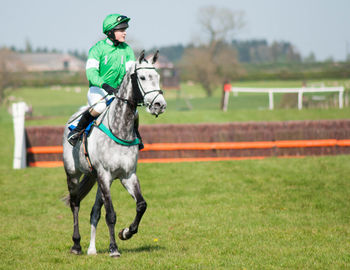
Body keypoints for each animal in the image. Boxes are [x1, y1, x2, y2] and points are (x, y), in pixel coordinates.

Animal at [63, 51, 167, 258]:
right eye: (142, 77)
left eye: (157, 76)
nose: (160, 104)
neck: (120, 129)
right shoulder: (105, 175)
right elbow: (111, 215)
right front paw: (114, 249)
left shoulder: (127, 175)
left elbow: (141, 205)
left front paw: (126, 233)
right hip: (73, 174)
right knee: (75, 203)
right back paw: (77, 245)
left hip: (96, 179)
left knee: (94, 211)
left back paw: (92, 249)